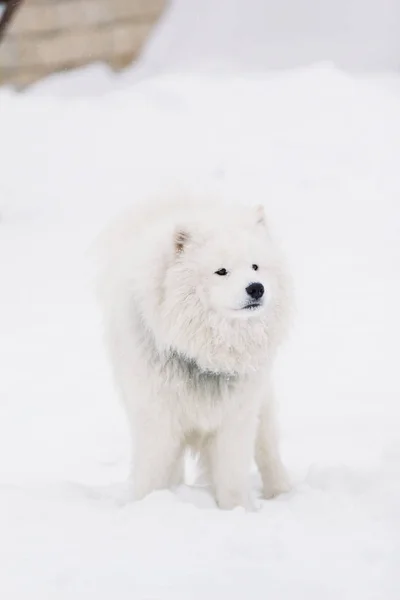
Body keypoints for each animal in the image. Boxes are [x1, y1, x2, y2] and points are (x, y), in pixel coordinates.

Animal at [95, 196, 292, 506]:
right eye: (221, 271)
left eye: (255, 266)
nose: (256, 288)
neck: (203, 355)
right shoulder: (158, 419)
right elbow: (152, 475)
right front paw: (148, 503)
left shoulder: (234, 421)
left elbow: (232, 478)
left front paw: (237, 510)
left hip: (261, 406)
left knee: (268, 450)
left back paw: (281, 491)